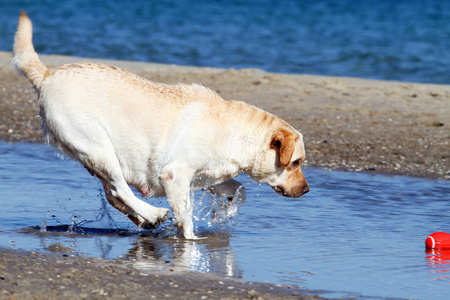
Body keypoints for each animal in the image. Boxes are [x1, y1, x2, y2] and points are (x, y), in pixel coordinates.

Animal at [12, 11, 308, 239]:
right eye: (295, 162)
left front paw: (225, 212)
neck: (236, 132)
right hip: (98, 147)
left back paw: (145, 220)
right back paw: (153, 214)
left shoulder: (205, 177)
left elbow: (239, 189)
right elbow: (185, 216)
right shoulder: (174, 175)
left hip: (96, 156)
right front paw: (190, 243)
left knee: (112, 194)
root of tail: (48, 75)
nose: (306, 189)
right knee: (119, 189)